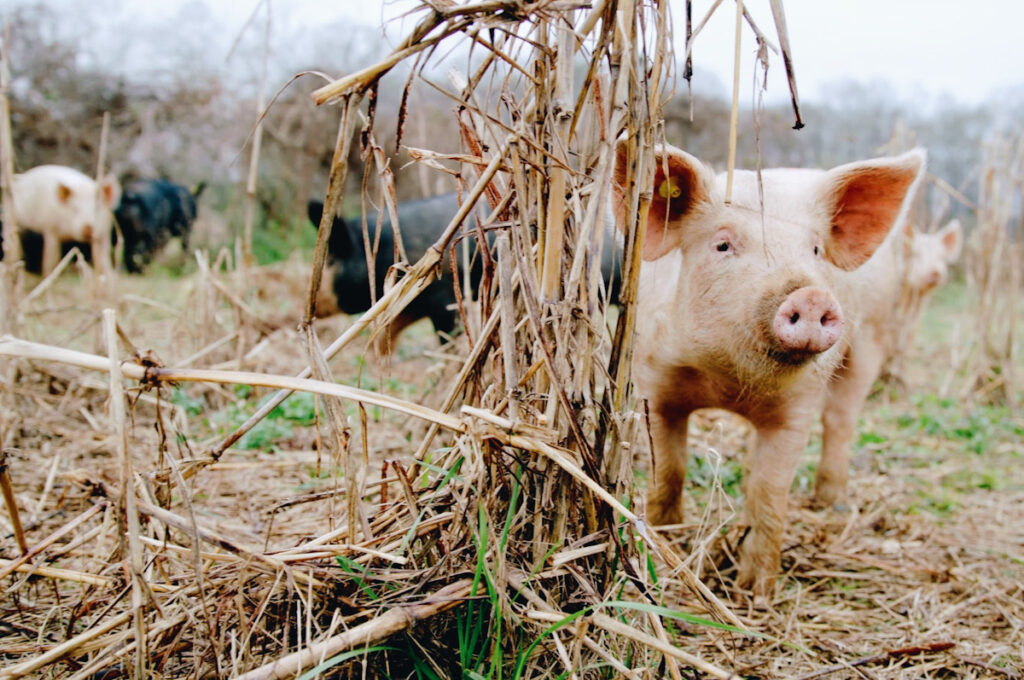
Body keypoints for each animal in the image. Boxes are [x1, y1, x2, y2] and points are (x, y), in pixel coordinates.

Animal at [614, 142, 929, 593]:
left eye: (815, 250)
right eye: (722, 245)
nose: (811, 296)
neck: (726, 383)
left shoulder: (798, 407)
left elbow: (769, 491)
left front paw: (755, 591)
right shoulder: (653, 384)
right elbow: (668, 472)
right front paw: (664, 540)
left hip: (872, 339)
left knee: (841, 420)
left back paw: (830, 501)